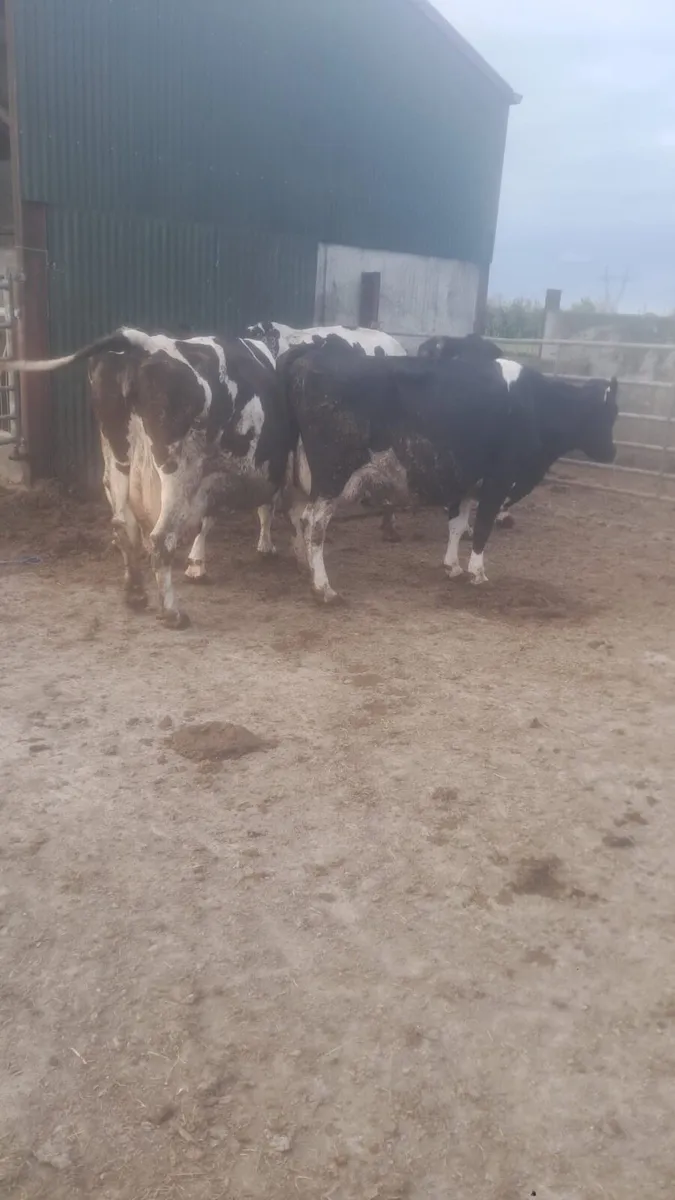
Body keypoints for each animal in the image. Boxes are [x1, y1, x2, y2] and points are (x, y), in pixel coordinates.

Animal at [7, 329, 293, 628]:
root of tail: (144, 343)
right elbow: (261, 509)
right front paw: (264, 547)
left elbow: (213, 518)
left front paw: (198, 565)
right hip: (178, 475)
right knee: (161, 539)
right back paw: (172, 612)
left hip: (118, 462)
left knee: (124, 528)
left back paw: (134, 594)